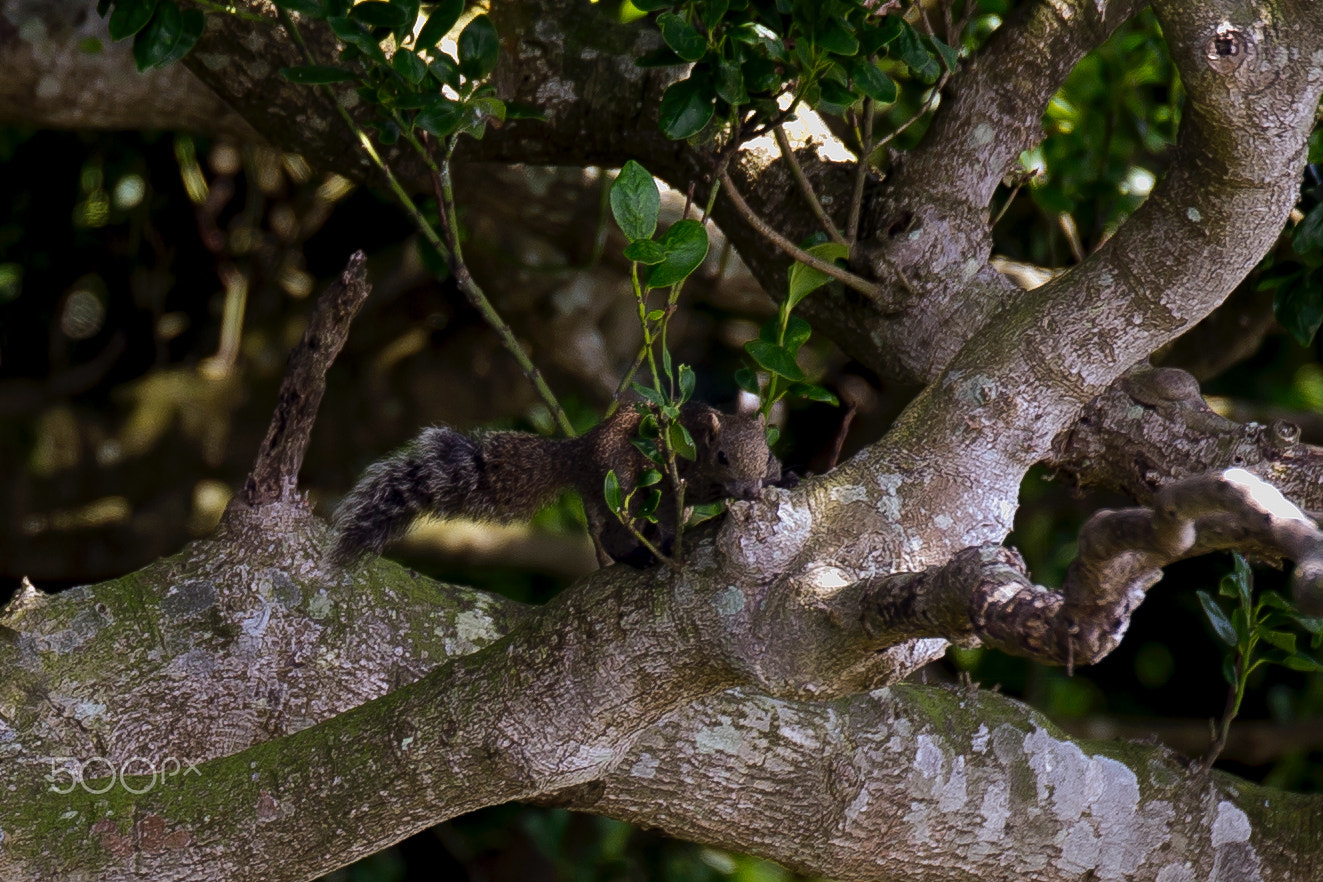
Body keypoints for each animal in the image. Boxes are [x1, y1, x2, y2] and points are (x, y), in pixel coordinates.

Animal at [329, 402, 779, 568]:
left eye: (767, 453)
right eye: (722, 456)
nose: (751, 491)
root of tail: (581, 451)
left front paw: (785, 477)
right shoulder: (672, 481)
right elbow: (669, 512)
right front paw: (670, 541)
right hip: (620, 482)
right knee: (612, 529)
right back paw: (635, 554)